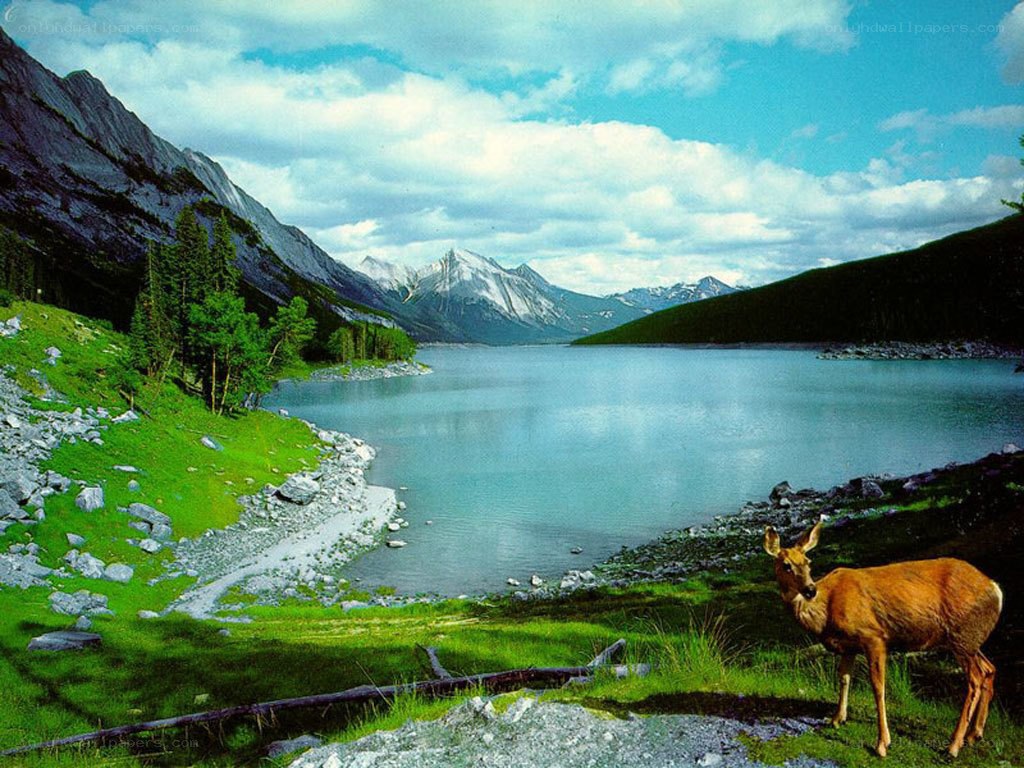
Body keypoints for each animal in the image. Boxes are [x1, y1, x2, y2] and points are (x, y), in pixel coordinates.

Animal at [764, 521, 1002, 758]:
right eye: (786, 565)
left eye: (808, 562)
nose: (810, 590)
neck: (827, 610)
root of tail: (995, 589)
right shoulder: (849, 646)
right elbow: (844, 678)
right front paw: (837, 719)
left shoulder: (873, 636)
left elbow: (878, 687)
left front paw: (882, 744)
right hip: (970, 639)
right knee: (989, 669)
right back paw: (974, 735)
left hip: (962, 636)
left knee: (975, 679)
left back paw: (953, 745)